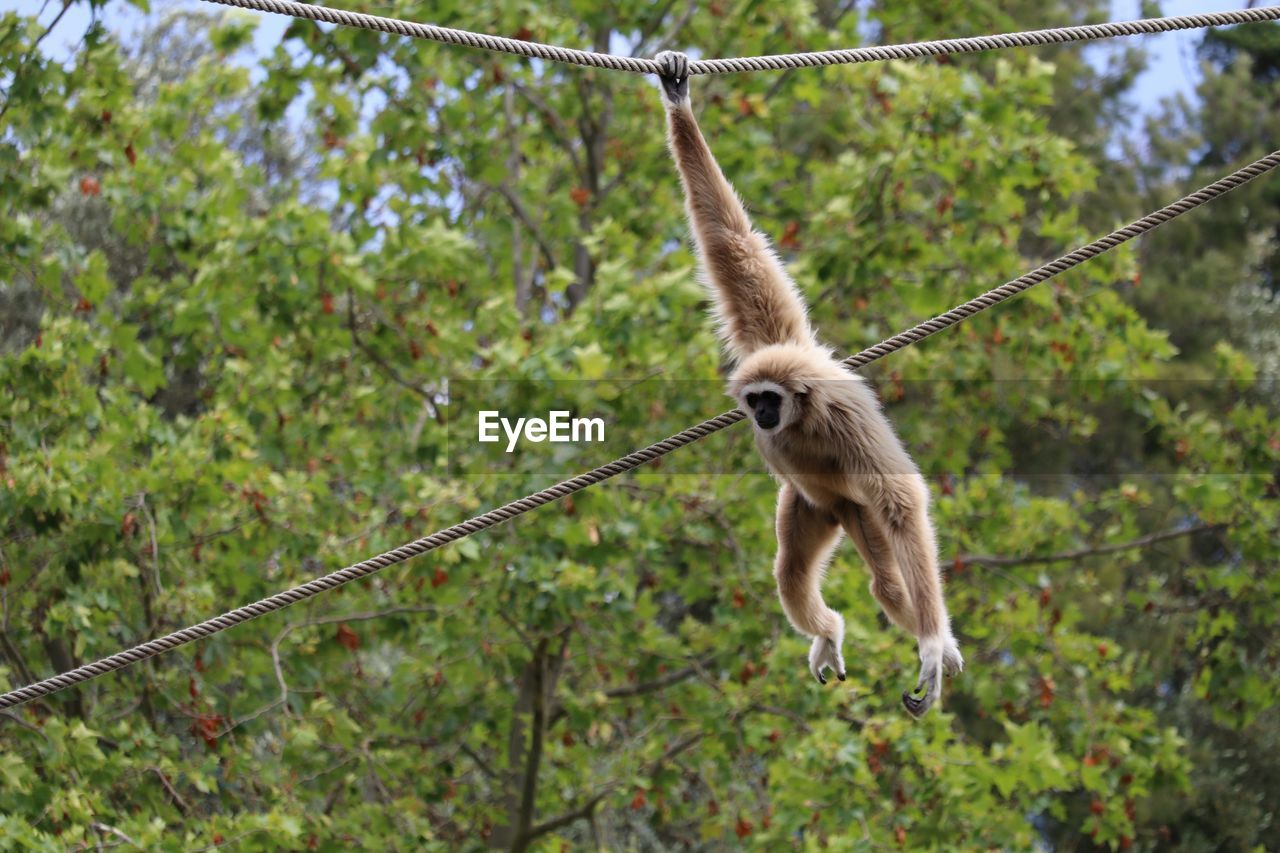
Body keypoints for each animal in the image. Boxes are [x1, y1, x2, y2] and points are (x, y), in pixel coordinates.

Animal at [655, 53, 962, 712]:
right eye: (754, 400)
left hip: (852, 508)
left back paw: (935, 639)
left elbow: (903, 501)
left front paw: (931, 644)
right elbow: (731, 242)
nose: (763, 417)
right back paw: (828, 631)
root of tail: (841, 512)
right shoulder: (776, 344)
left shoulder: (844, 413)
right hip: (815, 507)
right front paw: (677, 96)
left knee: (887, 580)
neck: (804, 411)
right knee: (793, 571)